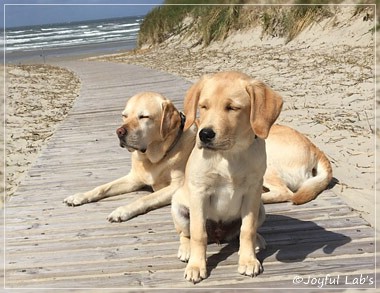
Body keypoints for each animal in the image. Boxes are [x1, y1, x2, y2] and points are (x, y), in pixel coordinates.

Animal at [63, 92, 196, 221]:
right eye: (124, 116)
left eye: (144, 117)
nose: (119, 132)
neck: (153, 159)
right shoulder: (132, 179)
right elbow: (102, 188)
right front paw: (80, 196)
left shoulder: (178, 186)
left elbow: (146, 198)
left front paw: (122, 211)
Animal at [171, 71, 284, 282]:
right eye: (203, 106)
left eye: (232, 108)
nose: (205, 134)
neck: (229, 155)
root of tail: (218, 235)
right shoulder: (200, 193)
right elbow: (198, 234)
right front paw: (196, 266)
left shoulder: (252, 191)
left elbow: (247, 230)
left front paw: (248, 260)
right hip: (178, 208)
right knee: (186, 233)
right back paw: (186, 250)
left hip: (261, 208)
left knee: (242, 232)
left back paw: (257, 241)